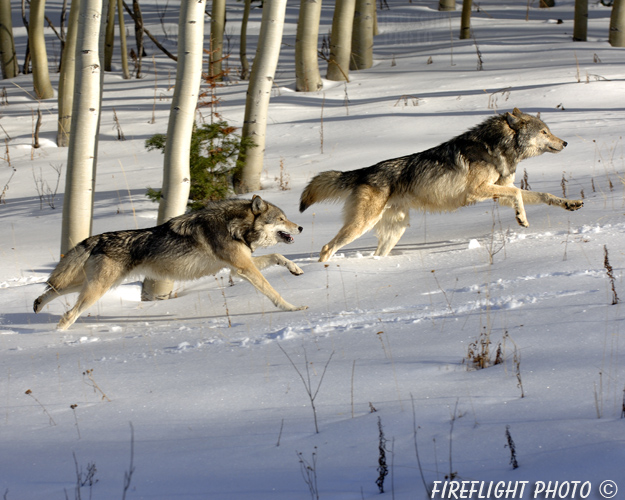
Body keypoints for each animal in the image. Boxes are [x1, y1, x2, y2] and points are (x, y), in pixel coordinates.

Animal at [34, 196, 308, 332]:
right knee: (68, 314)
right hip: (97, 289)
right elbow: (273, 292)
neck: (235, 227)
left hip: (91, 284)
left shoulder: (238, 268)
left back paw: (37, 306)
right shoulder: (244, 268)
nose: (301, 227)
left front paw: (296, 269)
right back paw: (56, 336)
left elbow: (278, 257)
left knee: (51, 289)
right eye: (281, 219)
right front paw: (293, 308)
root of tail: (98, 237)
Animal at [300, 106, 584, 262]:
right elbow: (517, 192)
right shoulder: (477, 192)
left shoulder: (497, 194)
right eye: (544, 132)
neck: (495, 147)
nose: (566, 142)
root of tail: (364, 171)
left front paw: (569, 203)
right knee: (327, 248)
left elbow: (542, 194)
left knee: (376, 254)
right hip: (361, 226)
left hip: (394, 232)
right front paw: (522, 218)